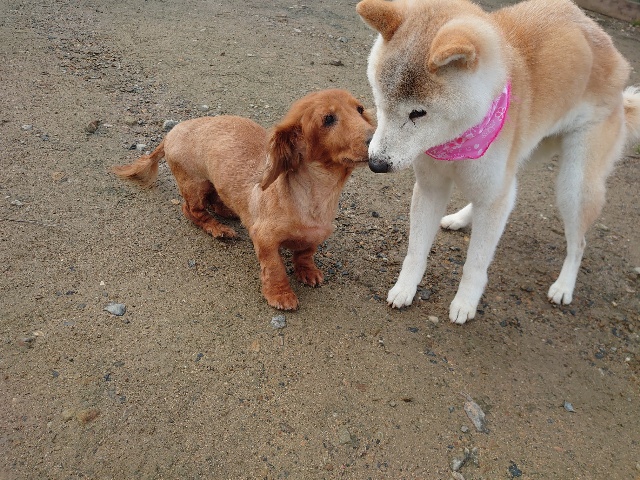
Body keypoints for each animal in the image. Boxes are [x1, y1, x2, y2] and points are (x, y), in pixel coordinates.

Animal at [113, 89, 374, 310]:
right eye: (328, 119)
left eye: (360, 109)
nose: (376, 141)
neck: (315, 195)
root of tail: (171, 132)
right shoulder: (264, 238)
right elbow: (275, 267)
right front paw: (280, 294)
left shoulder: (317, 235)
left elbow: (305, 253)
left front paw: (307, 271)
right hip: (193, 183)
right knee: (192, 211)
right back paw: (218, 228)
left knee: (215, 198)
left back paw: (228, 211)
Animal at [356, 0, 640, 324]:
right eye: (380, 102)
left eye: (418, 113)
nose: (376, 164)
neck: (456, 138)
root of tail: (609, 46)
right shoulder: (431, 188)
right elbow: (416, 251)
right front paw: (405, 288)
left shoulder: (490, 191)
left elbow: (476, 262)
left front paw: (466, 302)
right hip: (525, 153)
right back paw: (462, 218)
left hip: (574, 186)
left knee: (578, 243)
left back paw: (564, 286)